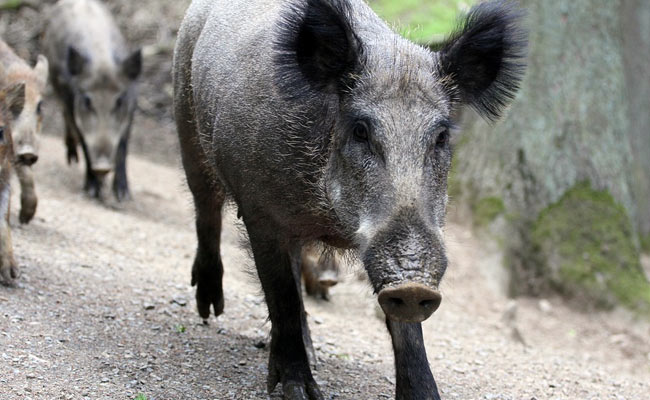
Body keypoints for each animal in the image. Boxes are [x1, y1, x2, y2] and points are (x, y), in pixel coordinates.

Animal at [43, 0, 141, 200]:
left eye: (119, 101)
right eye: (87, 100)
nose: (102, 167)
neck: (101, 61)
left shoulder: (131, 107)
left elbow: (122, 145)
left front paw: (123, 197)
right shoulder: (72, 100)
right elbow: (84, 140)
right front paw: (92, 192)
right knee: (66, 117)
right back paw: (73, 160)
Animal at [173, 0, 526, 398]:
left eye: (440, 137)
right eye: (360, 130)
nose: (413, 284)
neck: (330, 221)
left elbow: (406, 329)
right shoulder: (260, 211)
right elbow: (281, 294)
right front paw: (299, 392)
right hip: (185, 122)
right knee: (206, 208)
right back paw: (209, 312)